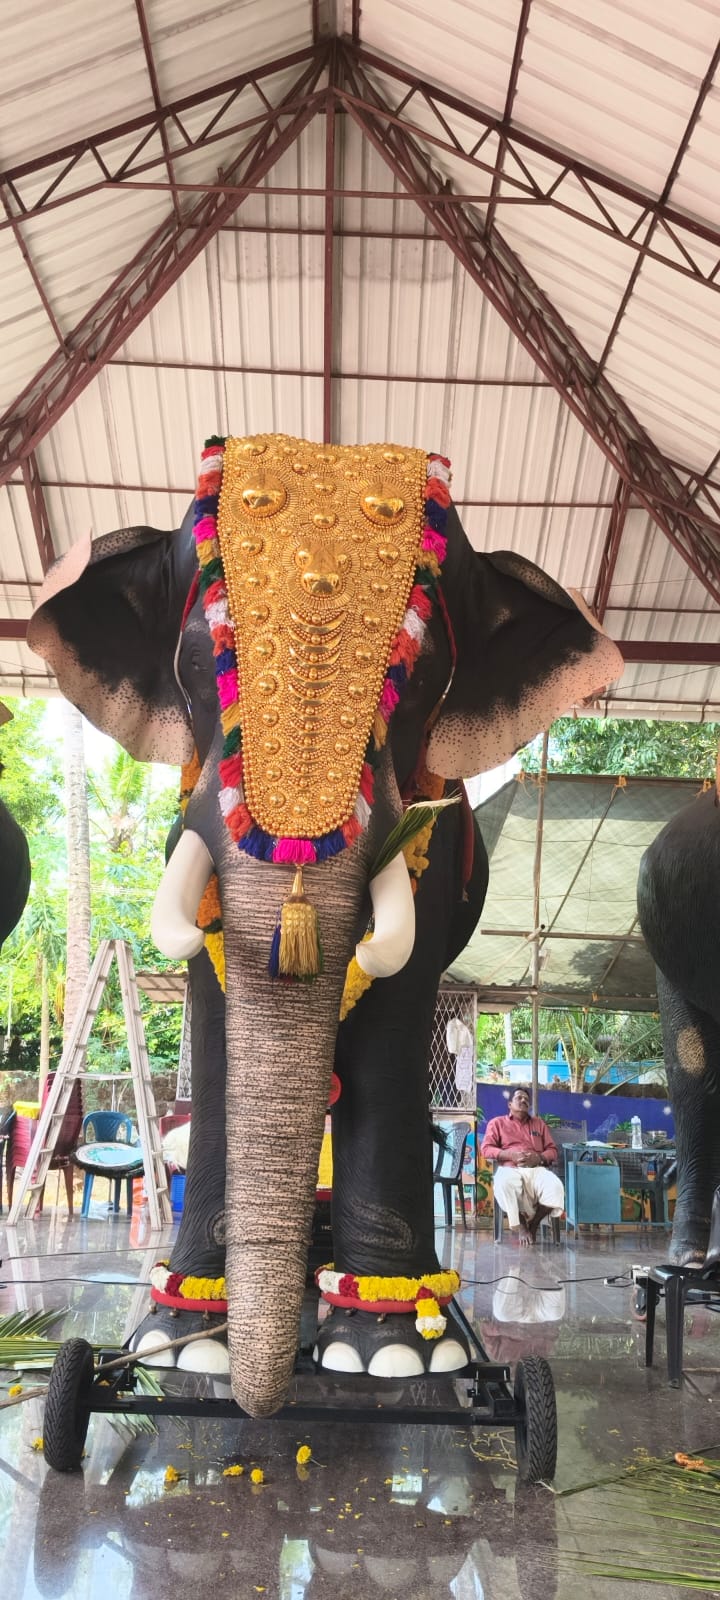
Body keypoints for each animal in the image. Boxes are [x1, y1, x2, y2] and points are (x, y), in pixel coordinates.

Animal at [28, 432, 622, 1416]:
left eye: (415, 680)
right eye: (204, 665)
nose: (261, 1408)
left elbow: (393, 1019)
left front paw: (391, 1354)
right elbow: (213, 1013)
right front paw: (185, 1342)